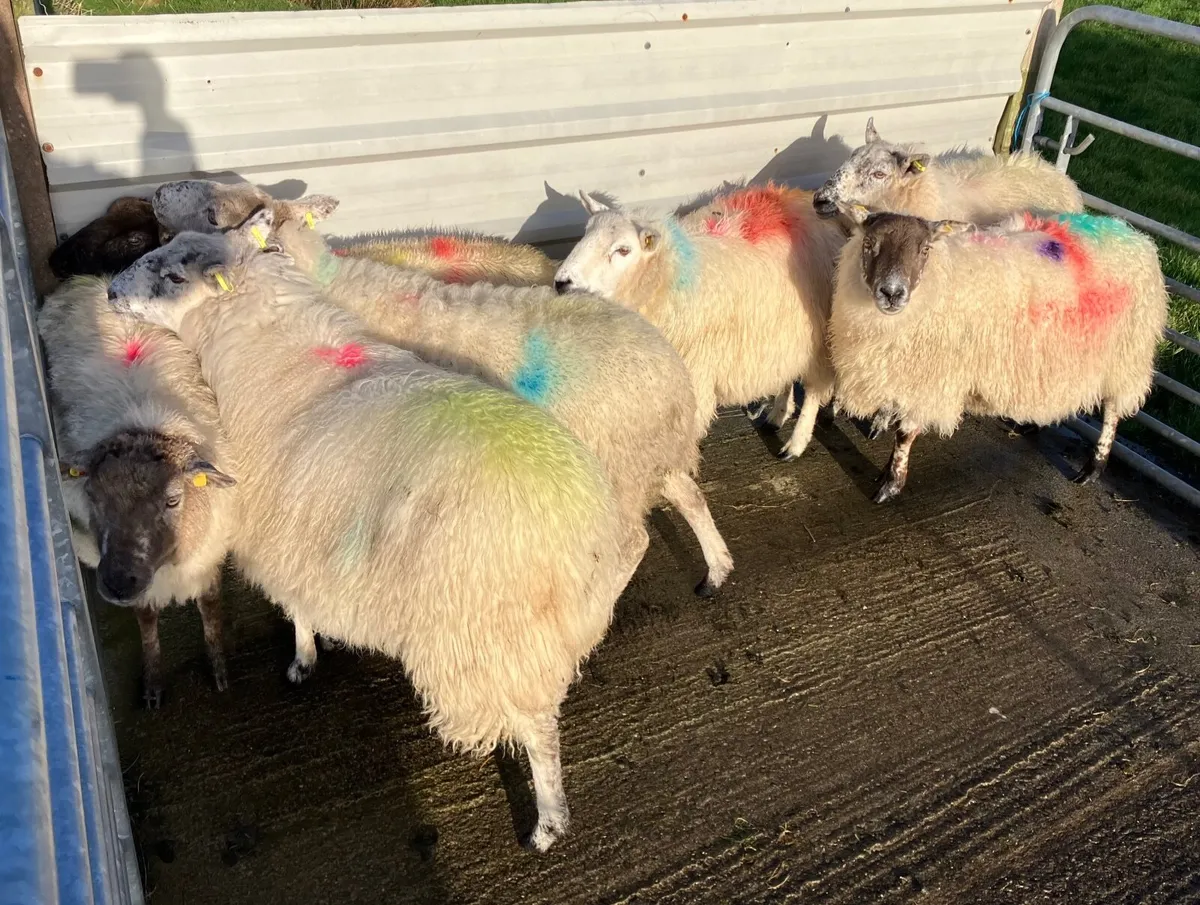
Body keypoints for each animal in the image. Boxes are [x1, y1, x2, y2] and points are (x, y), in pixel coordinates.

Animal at [37, 276, 238, 708]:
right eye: (93, 496)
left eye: (173, 499)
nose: (116, 583)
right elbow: (146, 621)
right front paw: (152, 683)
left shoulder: (209, 551)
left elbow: (210, 606)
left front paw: (218, 667)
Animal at [106, 206, 642, 852]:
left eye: (171, 274)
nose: (108, 290)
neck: (267, 352)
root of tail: (579, 526)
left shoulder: (284, 531)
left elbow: (297, 607)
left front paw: (303, 659)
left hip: (490, 636)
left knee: (536, 729)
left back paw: (547, 821)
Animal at [554, 185, 847, 460]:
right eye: (584, 235)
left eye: (623, 250)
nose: (562, 282)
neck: (665, 278)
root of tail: (804, 200)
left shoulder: (694, 369)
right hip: (784, 326)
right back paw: (777, 416)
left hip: (820, 332)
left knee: (814, 392)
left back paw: (795, 444)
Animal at [829, 204, 1167, 502]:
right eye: (869, 244)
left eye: (924, 250)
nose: (892, 293)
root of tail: (1132, 235)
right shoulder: (902, 367)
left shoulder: (933, 377)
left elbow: (905, 433)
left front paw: (891, 484)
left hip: (1126, 354)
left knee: (1112, 410)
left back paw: (1093, 468)